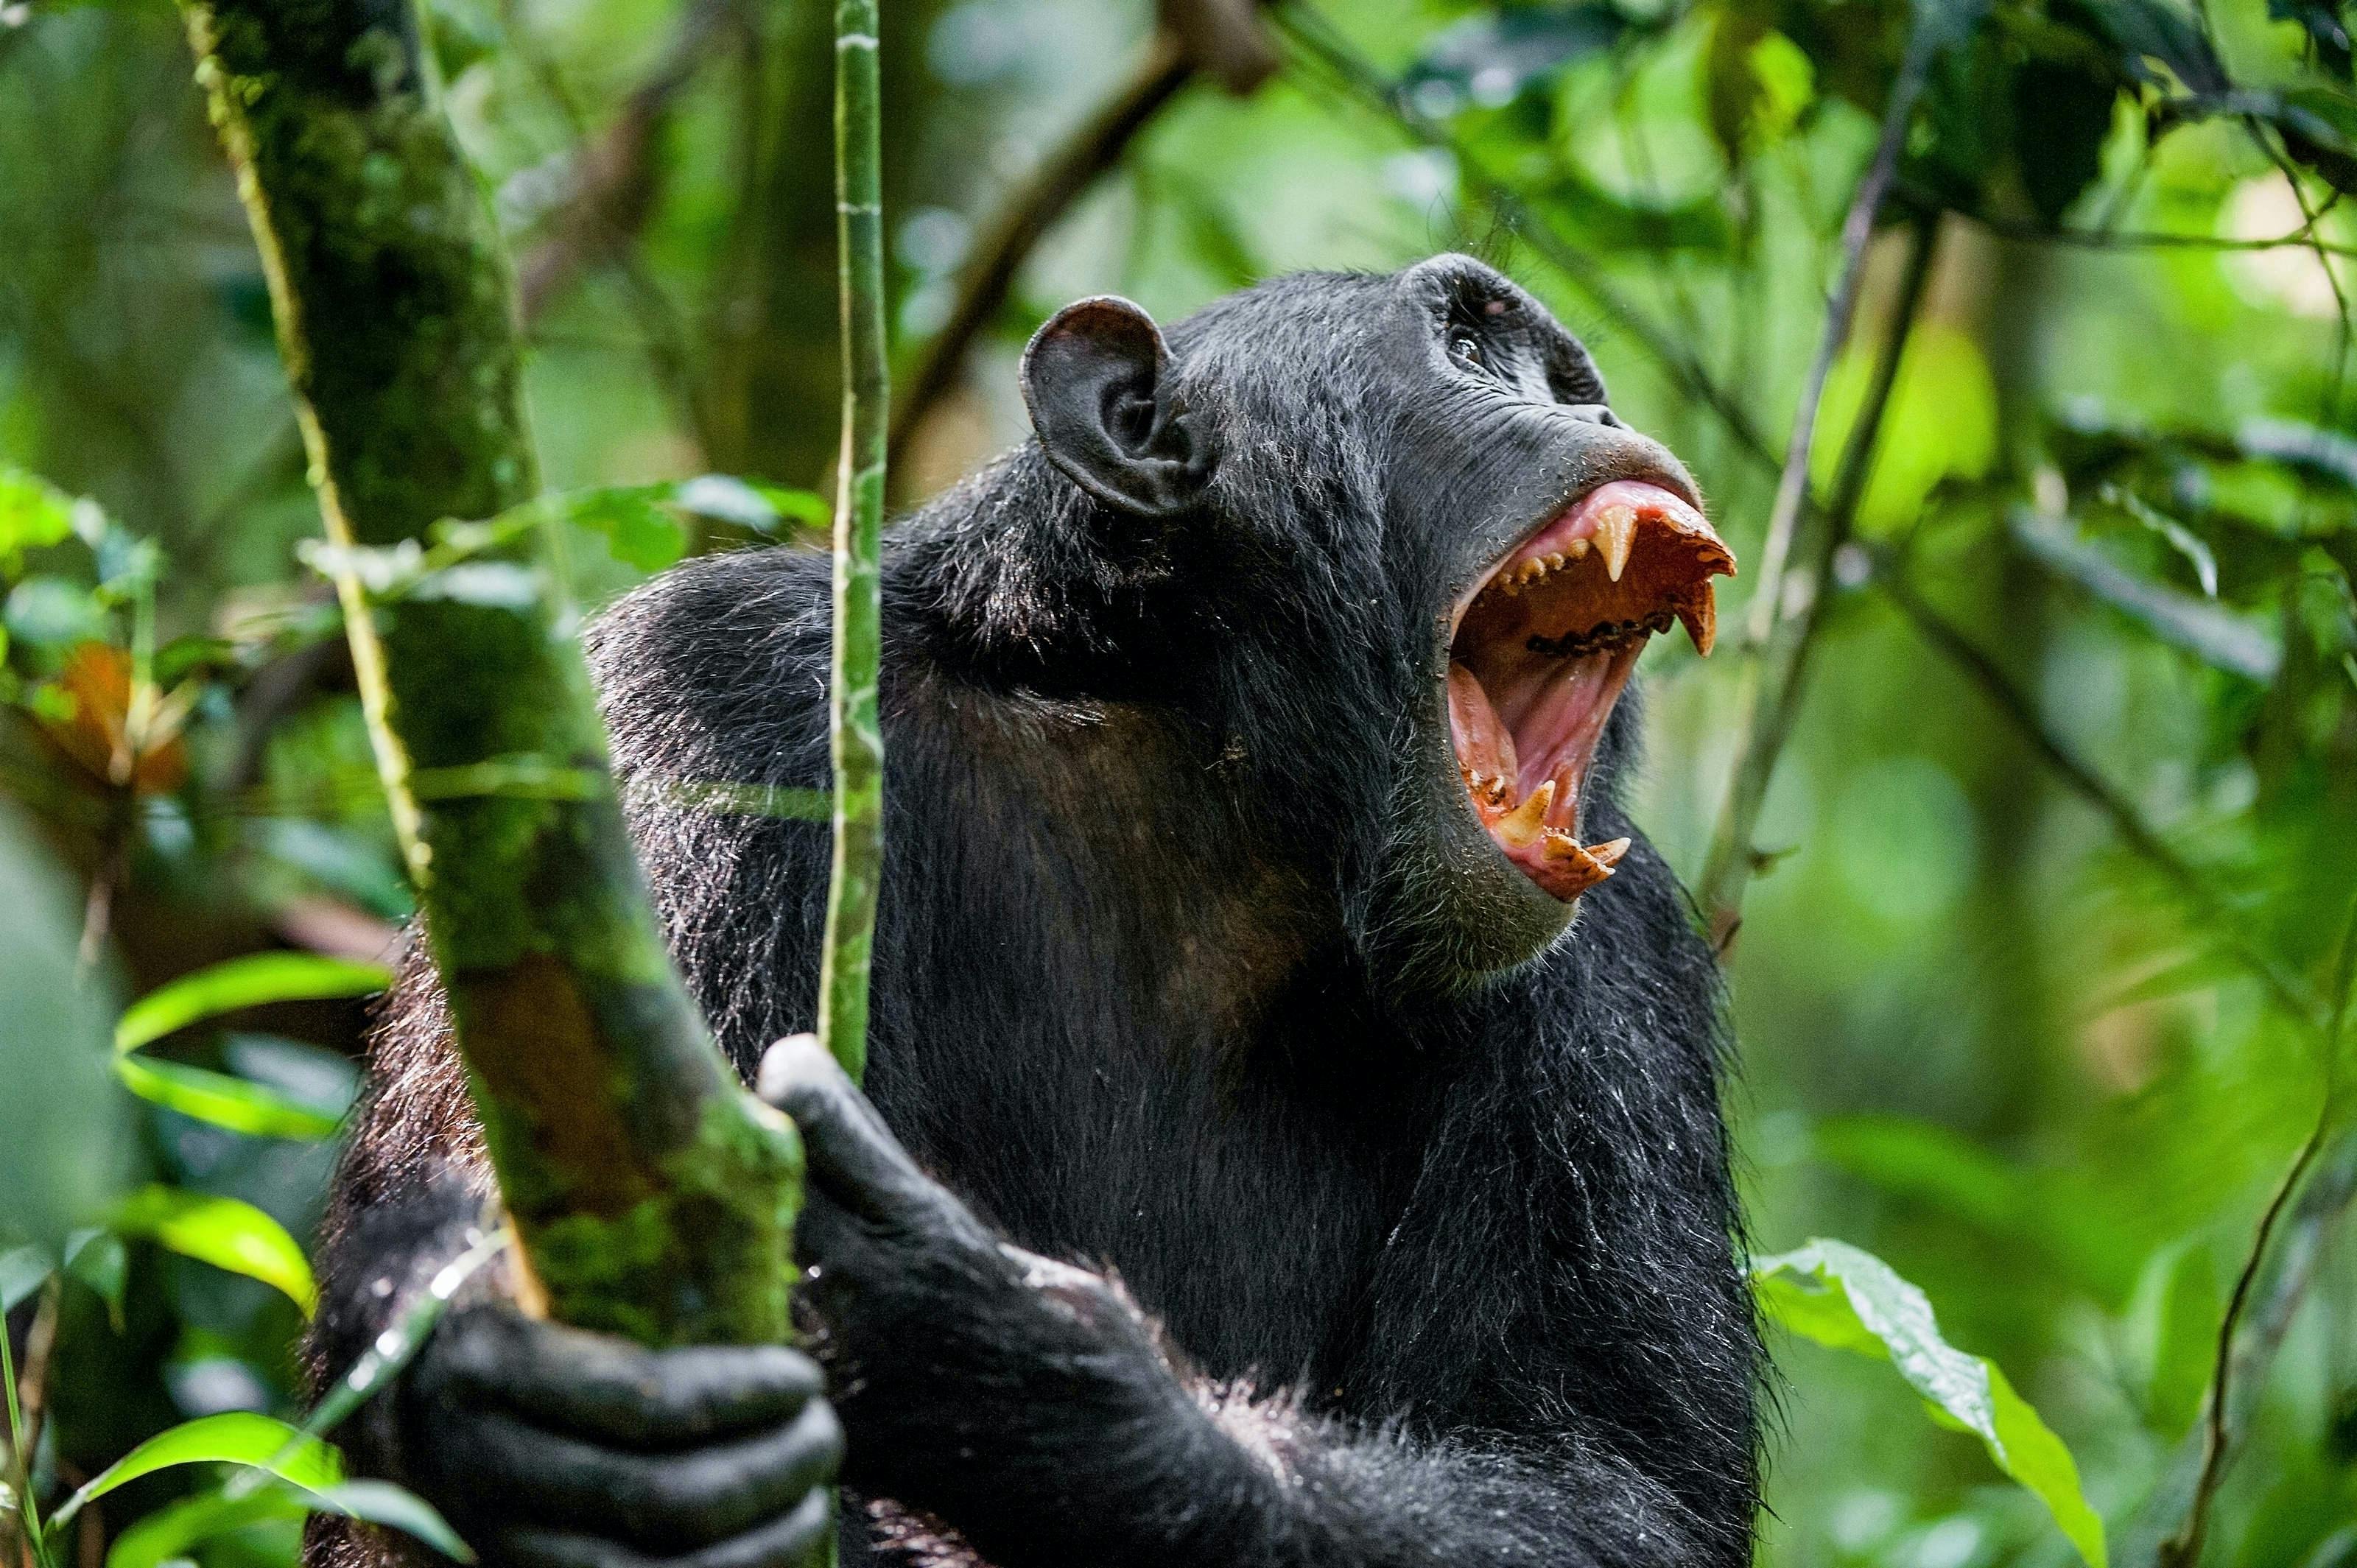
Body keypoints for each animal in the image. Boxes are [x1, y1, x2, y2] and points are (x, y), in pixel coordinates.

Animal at [309, 256, 1753, 1565]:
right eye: (1470, 345)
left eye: (1564, 377)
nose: (1596, 408)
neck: (1204, 761)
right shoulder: (697, 697)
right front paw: (483, 1372)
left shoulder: (1621, 962)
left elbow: (1610, 1484)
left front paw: (1009, 1346)